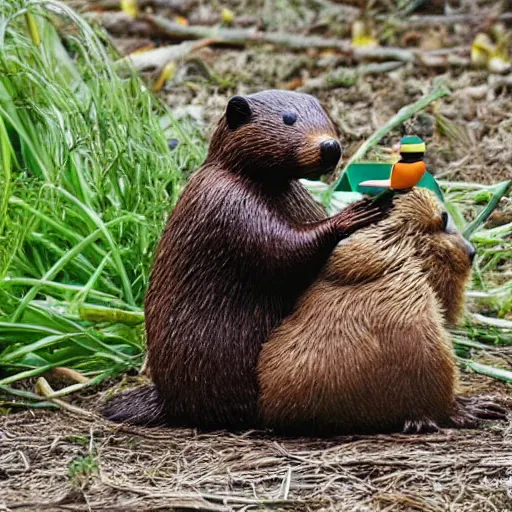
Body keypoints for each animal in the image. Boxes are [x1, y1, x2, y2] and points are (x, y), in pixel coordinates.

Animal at [102, 90, 390, 430]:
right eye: (288, 118)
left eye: (324, 114)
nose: (330, 147)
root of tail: (166, 401)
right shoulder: (230, 208)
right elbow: (283, 251)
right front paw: (356, 212)